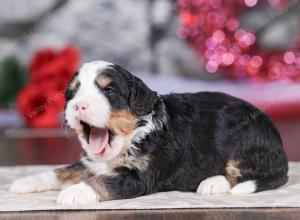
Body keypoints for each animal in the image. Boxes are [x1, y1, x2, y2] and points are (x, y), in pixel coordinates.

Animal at [9, 60, 288, 205]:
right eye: (72, 93)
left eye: (108, 91)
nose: (78, 105)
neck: (132, 136)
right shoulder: (91, 163)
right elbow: (63, 170)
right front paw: (26, 181)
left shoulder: (143, 175)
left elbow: (104, 181)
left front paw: (75, 192)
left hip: (243, 139)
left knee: (243, 172)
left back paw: (211, 183)